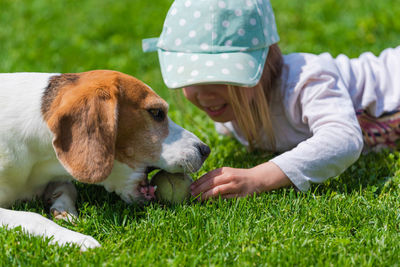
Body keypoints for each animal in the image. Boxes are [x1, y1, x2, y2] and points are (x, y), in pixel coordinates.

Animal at [0, 69, 211, 251]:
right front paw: (78, 240)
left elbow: (69, 188)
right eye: (157, 113)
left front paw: (64, 211)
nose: (205, 149)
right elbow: (33, 217)